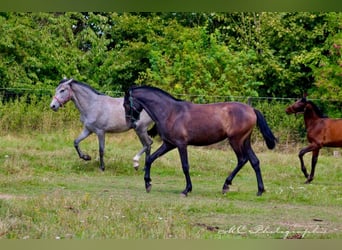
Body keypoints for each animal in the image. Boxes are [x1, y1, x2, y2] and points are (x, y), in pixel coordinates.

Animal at [123, 86, 278, 197]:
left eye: (126, 105)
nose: (132, 124)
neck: (170, 112)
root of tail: (251, 109)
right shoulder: (169, 144)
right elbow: (150, 159)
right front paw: (148, 184)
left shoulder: (181, 144)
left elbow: (185, 166)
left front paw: (186, 190)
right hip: (245, 141)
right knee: (254, 161)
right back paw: (259, 190)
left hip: (236, 140)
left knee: (242, 159)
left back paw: (226, 185)